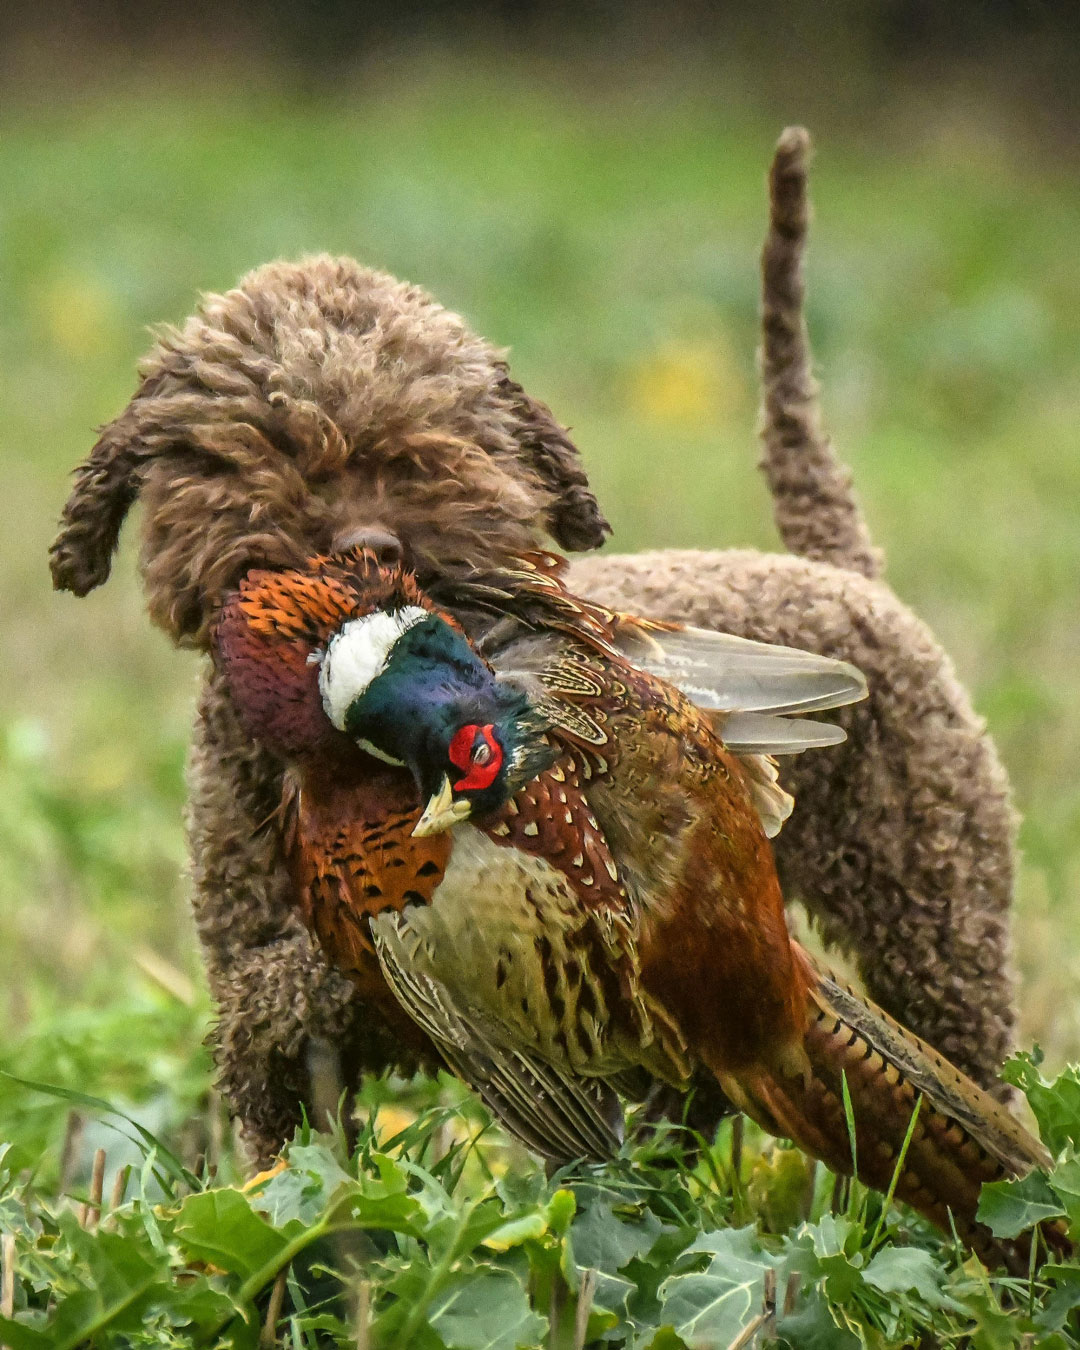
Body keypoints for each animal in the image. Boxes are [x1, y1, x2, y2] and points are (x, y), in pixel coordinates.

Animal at [48, 128, 1015, 1161]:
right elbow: (281, 1114)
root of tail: (846, 570)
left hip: (934, 908)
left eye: (425, 454)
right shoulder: (248, 922)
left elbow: (315, 992)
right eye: (264, 455)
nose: (371, 551)